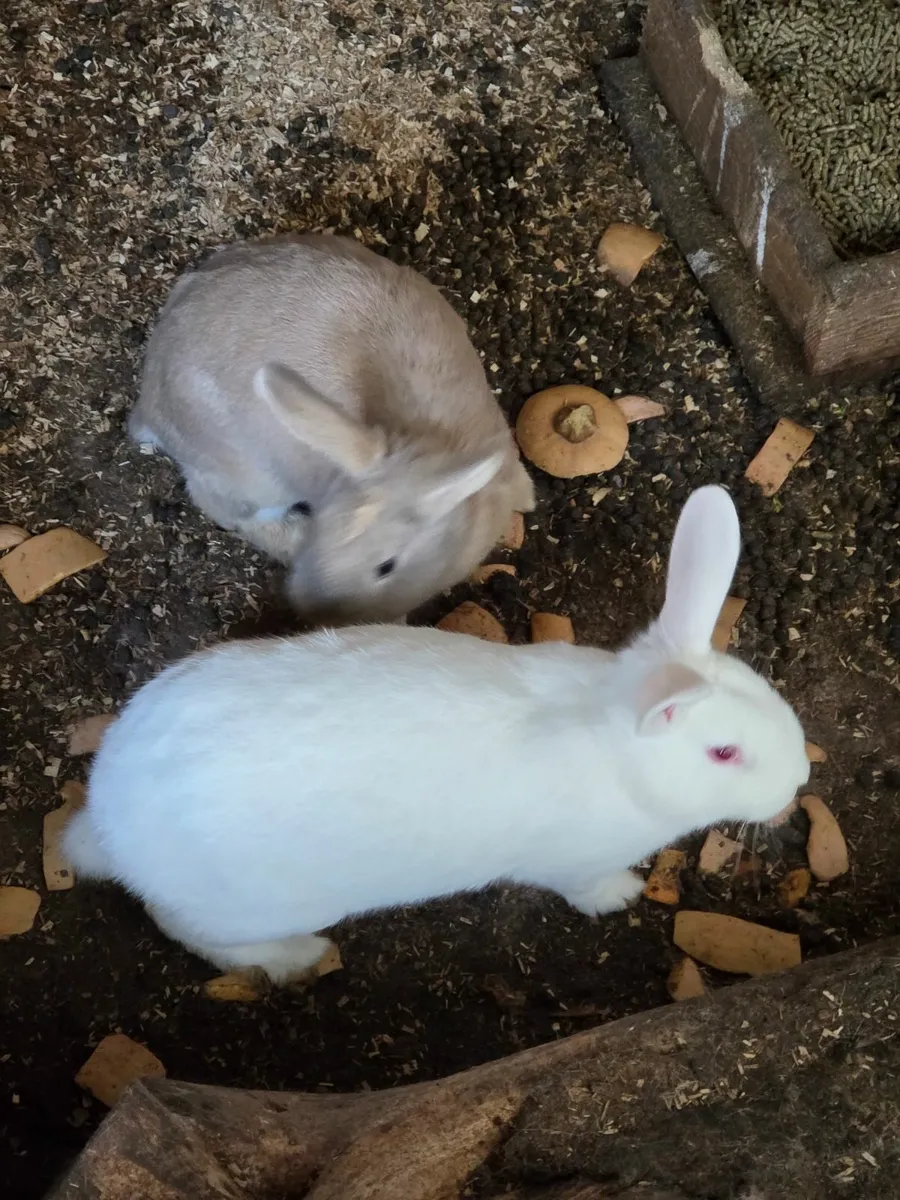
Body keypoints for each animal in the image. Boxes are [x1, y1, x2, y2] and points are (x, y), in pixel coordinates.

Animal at [62, 486, 810, 984]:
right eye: (724, 752)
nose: (800, 780)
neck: (617, 751)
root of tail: (108, 821)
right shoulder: (570, 863)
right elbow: (585, 887)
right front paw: (620, 896)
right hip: (242, 909)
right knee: (191, 932)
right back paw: (296, 955)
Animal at [130, 233, 535, 624]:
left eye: (386, 566)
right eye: (319, 525)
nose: (306, 606)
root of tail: (150, 405)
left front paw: (528, 498)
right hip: (253, 479)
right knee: (229, 511)